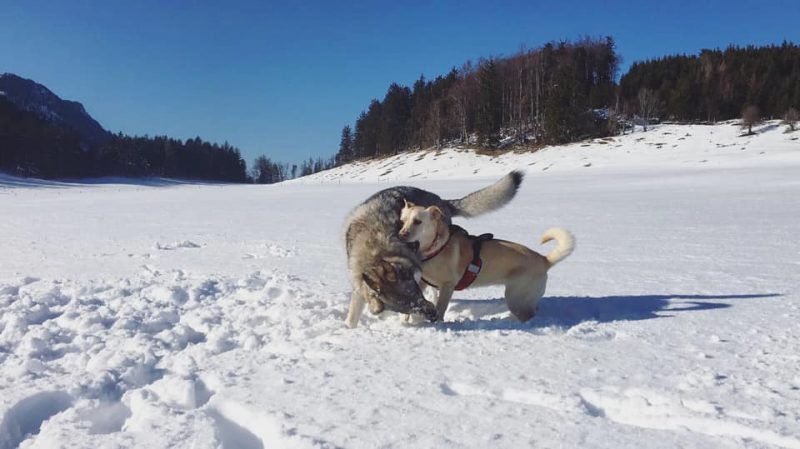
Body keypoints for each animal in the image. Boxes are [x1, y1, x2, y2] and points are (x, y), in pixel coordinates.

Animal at [346, 170, 524, 328]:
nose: (432, 316)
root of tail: (442, 200)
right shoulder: (359, 286)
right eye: (405, 307)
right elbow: (353, 317)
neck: (377, 245)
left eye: (416, 294)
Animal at [400, 200, 576, 322]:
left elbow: (440, 308)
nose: (401, 234)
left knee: (529, 316)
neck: (435, 248)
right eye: (403, 221)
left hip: (516, 298)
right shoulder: (423, 282)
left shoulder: (447, 285)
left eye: (418, 221)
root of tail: (544, 259)